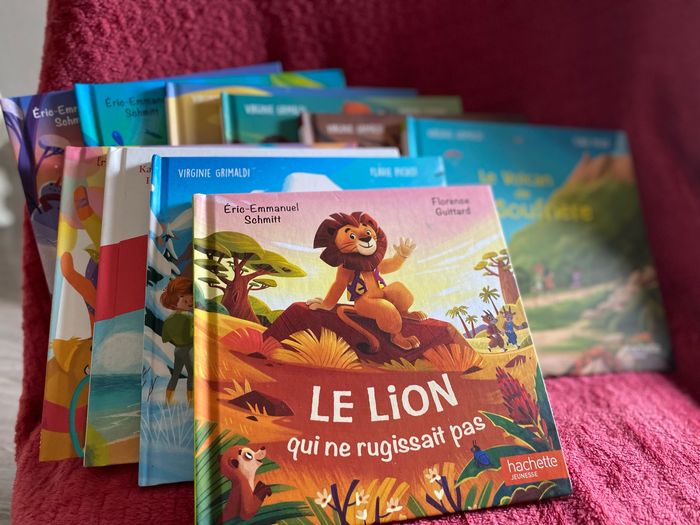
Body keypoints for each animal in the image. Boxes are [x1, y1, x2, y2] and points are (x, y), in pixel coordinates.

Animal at [307, 211, 426, 352]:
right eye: (351, 236)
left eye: (368, 232)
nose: (366, 239)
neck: (363, 258)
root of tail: (357, 309)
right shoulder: (344, 269)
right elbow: (338, 284)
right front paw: (322, 305)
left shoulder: (377, 263)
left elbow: (389, 266)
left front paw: (404, 250)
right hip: (365, 306)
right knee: (388, 312)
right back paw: (402, 340)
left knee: (400, 290)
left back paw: (411, 315)